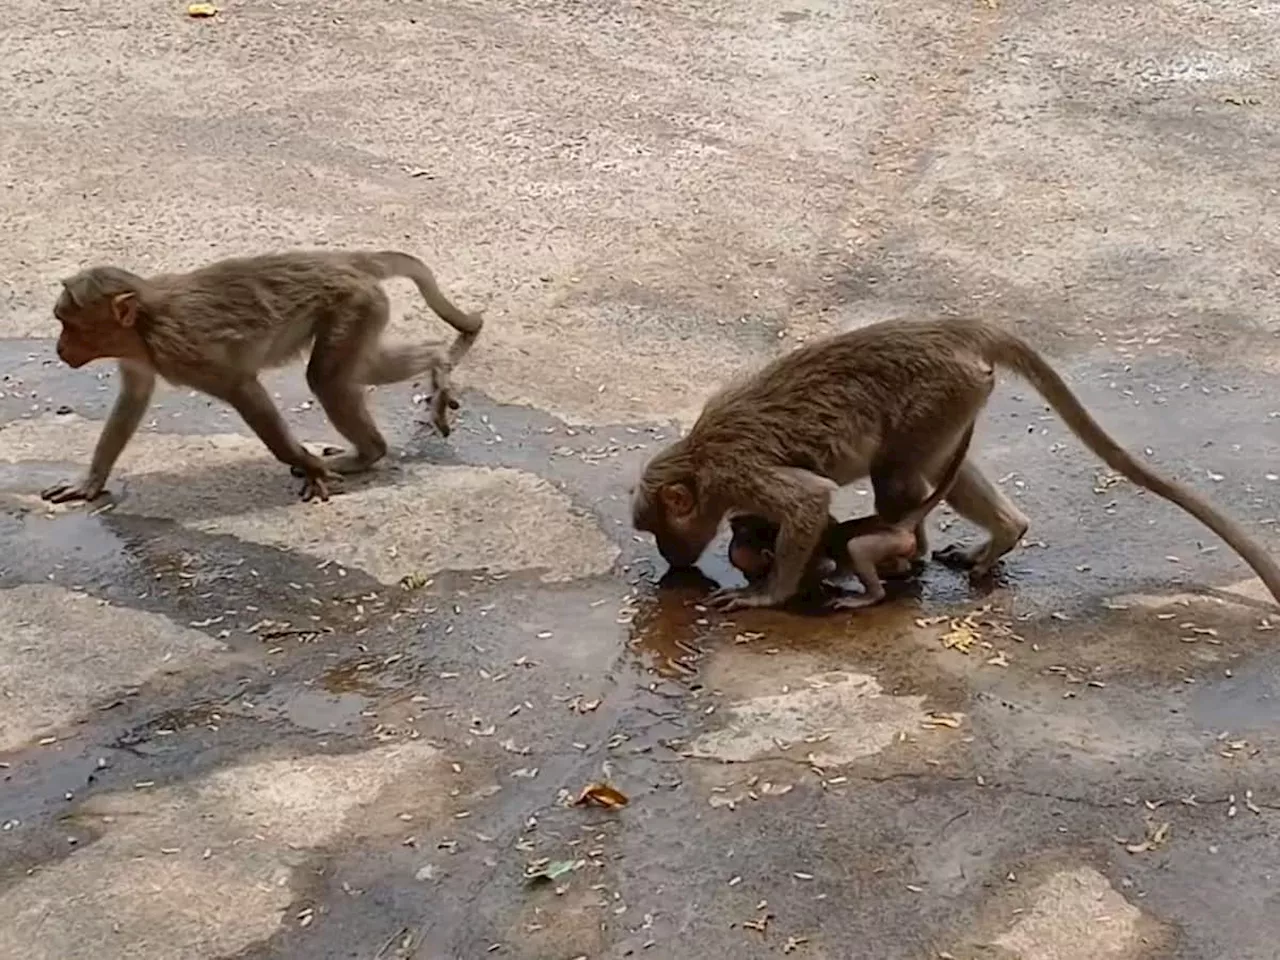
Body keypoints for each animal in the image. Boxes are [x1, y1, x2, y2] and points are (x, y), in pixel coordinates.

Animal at [42, 248, 483, 506]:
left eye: (71, 326)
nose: (60, 348)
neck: (145, 326)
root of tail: (344, 260)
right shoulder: (138, 358)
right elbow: (133, 397)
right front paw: (91, 481)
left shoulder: (186, 353)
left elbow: (243, 389)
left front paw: (306, 464)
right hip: (364, 308)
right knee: (355, 369)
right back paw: (436, 357)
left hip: (354, 305)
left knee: (326, 378)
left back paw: (370, 450)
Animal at [727, 427, 972, 611]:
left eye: (748, 571)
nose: (748, 578)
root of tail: (898, 525)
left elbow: (825, 565)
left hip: (894, 541)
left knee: (857, 548)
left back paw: (871, 594)